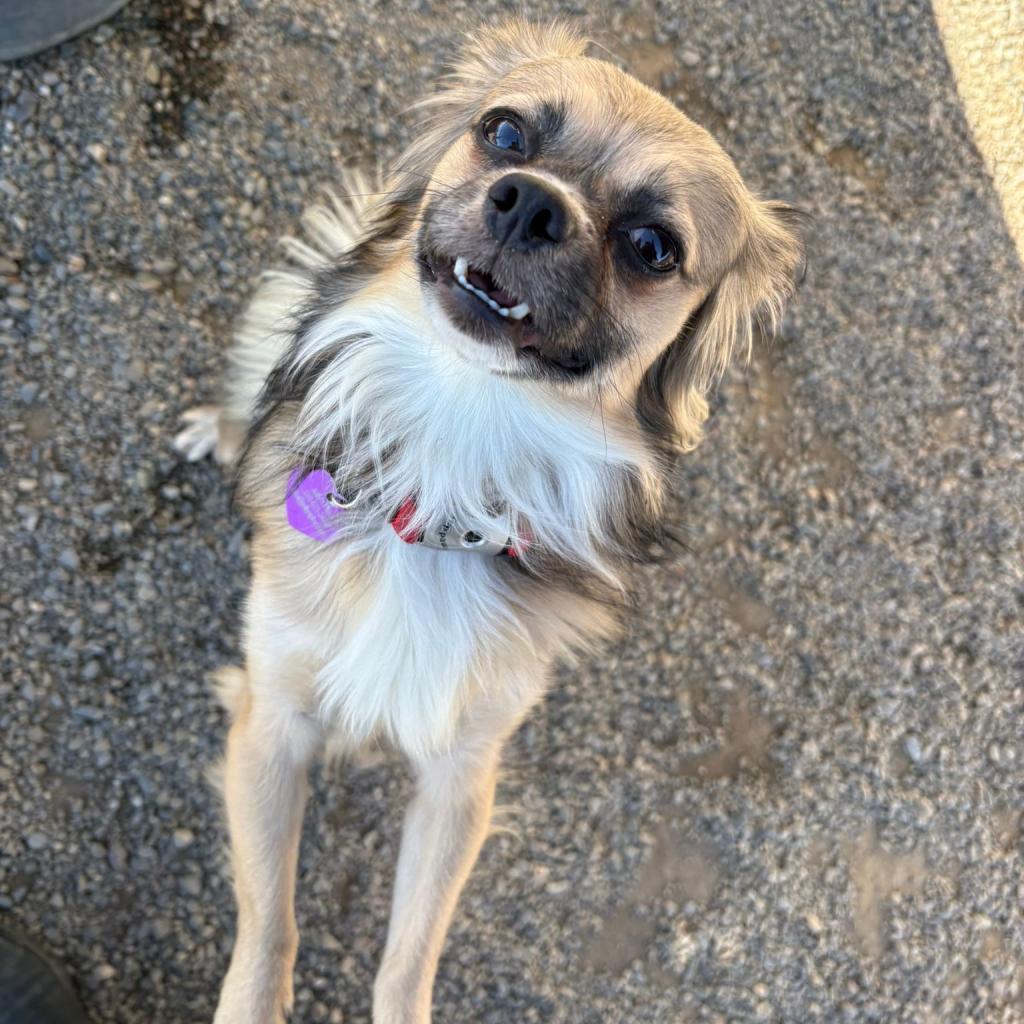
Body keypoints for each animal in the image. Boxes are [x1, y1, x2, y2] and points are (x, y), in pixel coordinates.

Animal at [174, 18, 798, 1024]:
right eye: (504, 132)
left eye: (654, 246)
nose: (529, 203)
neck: (449, 458)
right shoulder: (273, 718)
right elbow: (271, 931)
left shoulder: (461, 773)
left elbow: (407, 959)